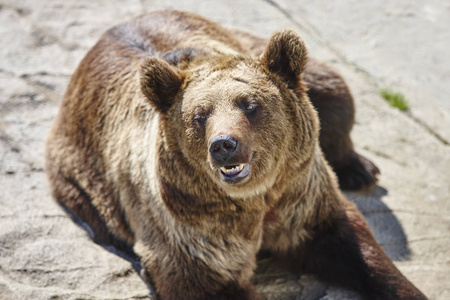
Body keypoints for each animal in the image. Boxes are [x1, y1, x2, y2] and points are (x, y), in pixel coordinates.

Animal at [45, 9, 426, 300]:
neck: (258, 198)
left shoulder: (300, 192)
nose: (223, 144)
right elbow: (203, 279)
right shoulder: (192, 226)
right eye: (199, 116)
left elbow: (352, 242)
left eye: (250, 104)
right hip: (79, 174)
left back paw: (360, 168)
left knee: (334, 91)